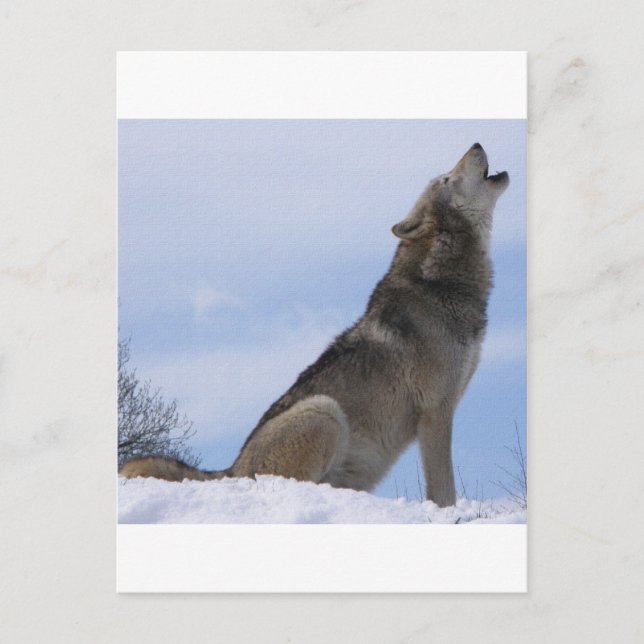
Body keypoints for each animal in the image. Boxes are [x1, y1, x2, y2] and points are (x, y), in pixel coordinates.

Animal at [120, 143, 509, 507]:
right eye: (446, 179)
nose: (476, 143)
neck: (441, 283)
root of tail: (231, 470)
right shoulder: (436, 411)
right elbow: (444, 489)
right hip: (324, 410)